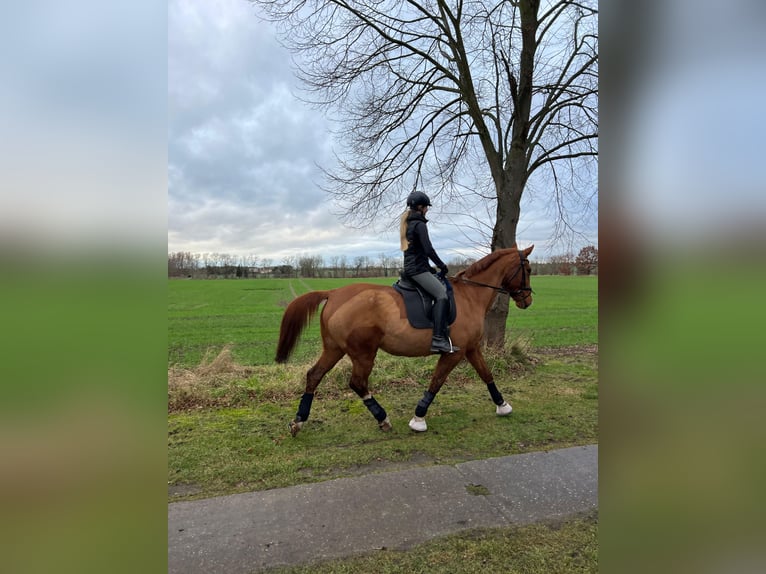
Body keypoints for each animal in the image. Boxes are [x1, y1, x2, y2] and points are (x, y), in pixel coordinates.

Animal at [276, 244, 536, 436]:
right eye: (529, 269)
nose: (527, 300)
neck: (470, 295)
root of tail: (333, 294)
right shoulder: (455, 353)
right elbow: (437, 381)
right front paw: (418, 418)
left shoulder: (471, 348)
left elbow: (486, 374)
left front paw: (503, 405)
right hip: (363, 353)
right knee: (357, 383)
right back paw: (383, 419)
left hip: (334, 349)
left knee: (314, 375)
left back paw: (298, 421)